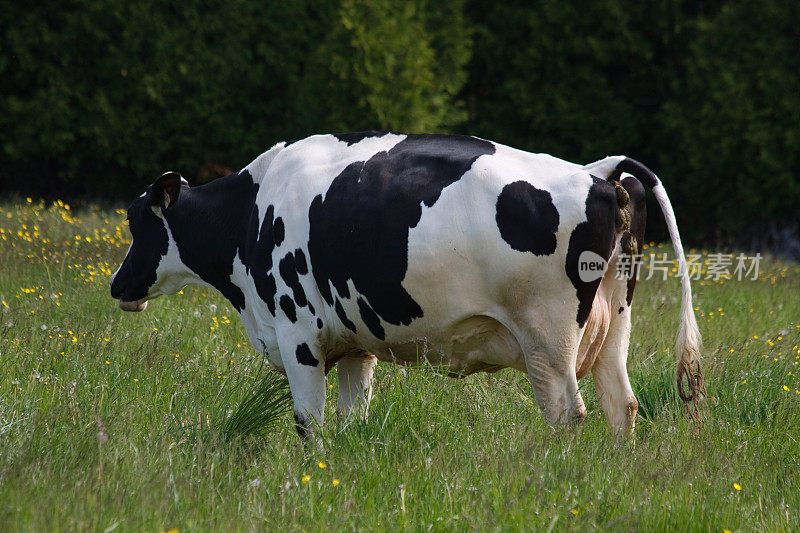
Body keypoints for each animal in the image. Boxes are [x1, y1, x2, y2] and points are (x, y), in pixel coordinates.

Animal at [109, 131, 704, 438]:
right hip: (614, 326)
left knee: (567, 413)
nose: (117, 285)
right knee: (621, 406)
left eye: (137, 222)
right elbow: (350, 420)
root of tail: (598, 172)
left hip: (548, 338)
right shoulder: (353, 344)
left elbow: (309, 423)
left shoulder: (299, 335)